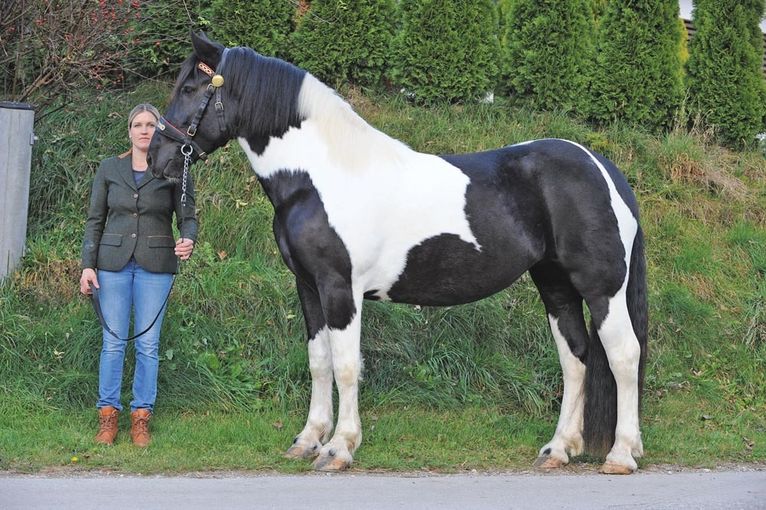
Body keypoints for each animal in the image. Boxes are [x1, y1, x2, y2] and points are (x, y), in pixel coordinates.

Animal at [148, 33, 648, 476]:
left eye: (190, 88)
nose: (157, 158)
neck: (319, 178)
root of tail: (602, 168)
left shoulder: (340, 288)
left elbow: (347, 365)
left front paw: (339, 448)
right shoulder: (308, 287)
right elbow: (319, 361)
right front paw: (308, 440)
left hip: (601, 288)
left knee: (623, 354)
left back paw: (621, 454)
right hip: (555, 285)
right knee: (575, 356)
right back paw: (559, 449)